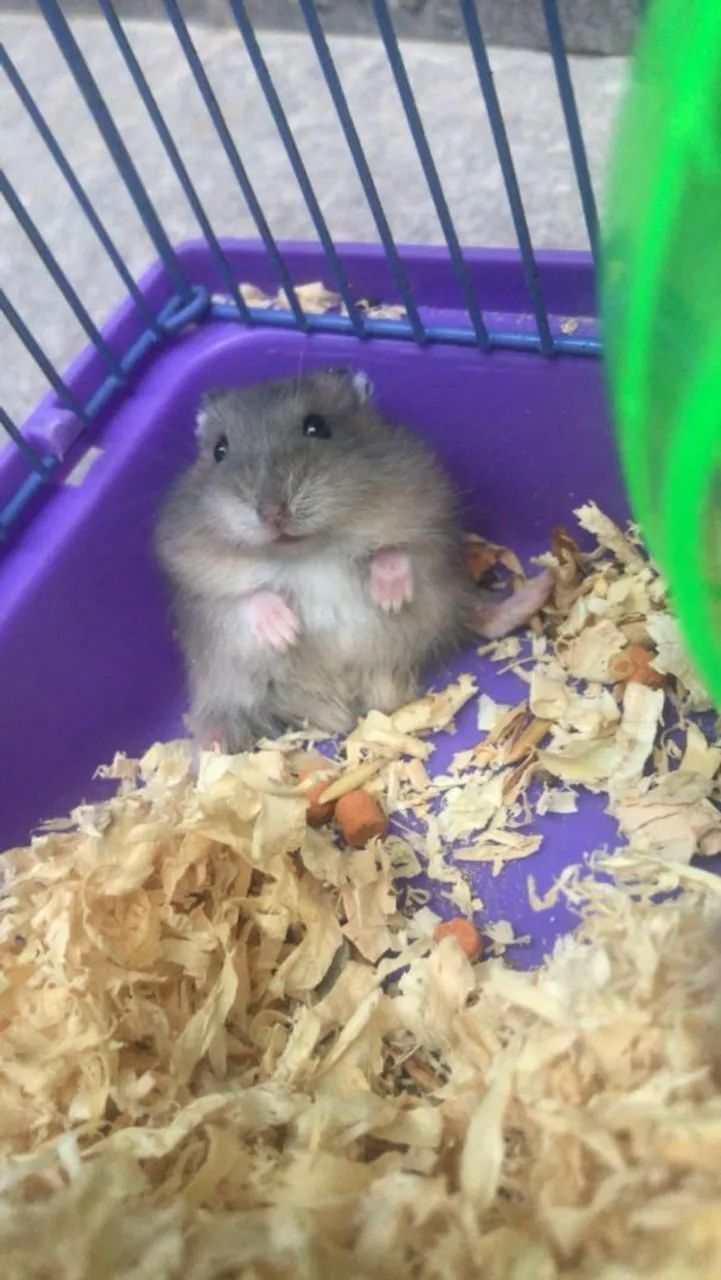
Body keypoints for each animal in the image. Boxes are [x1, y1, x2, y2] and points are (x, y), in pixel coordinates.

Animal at [155, 368, 475, 752]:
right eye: (220, 450)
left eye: (317, 427)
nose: (272, 512)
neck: (308, 553)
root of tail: (343, 709)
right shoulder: (200, 594)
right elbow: (247, 598)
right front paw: (287, 633)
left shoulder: (432, 533)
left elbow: (397, 552)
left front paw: (389, 601)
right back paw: (211, 751)